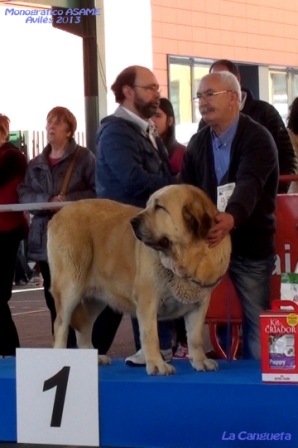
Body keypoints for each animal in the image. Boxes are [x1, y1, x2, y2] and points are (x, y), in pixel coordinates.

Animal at [47, 185, 232, 374]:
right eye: (148, 205)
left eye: (159, 207)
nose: (133, 222)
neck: (185, 260)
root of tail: (59, 214)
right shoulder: (147, 300)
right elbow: (151, 336)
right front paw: (157, 364)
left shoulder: (199, 304)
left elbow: (195, 337)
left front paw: (200, 361)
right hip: (71, 287)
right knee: (60, 325)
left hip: (96, 298)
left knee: (84, 325)